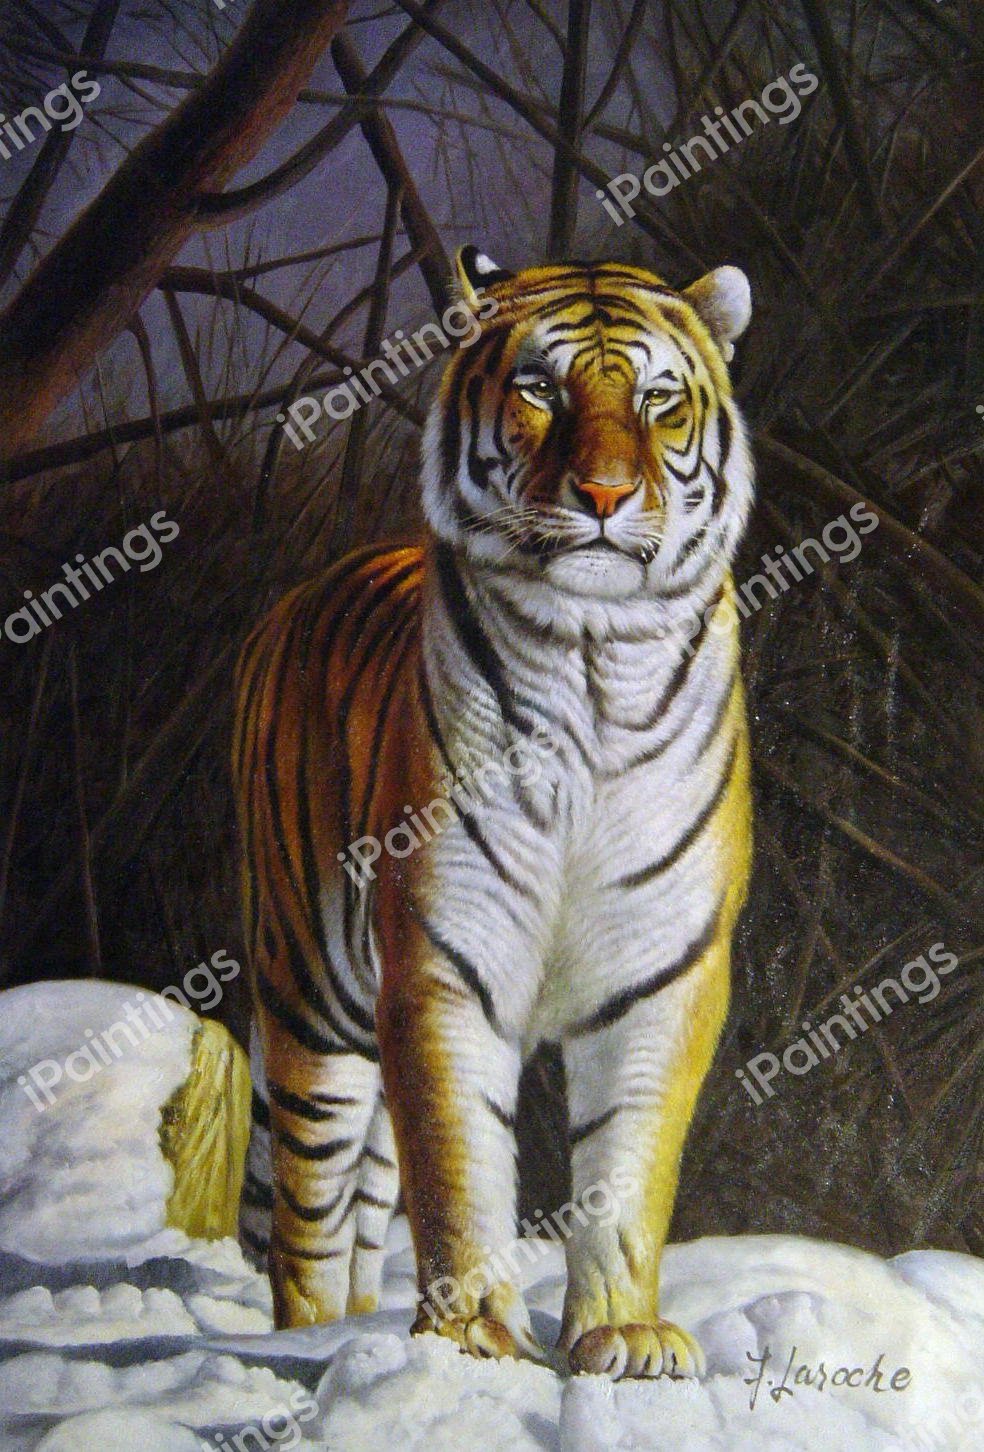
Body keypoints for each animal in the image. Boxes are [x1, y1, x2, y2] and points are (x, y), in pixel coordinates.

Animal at [232, 247, 754, 1380]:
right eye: (539, 389)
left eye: (659, 400)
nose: (604, 492)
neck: (596, 660)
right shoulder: (443, 958)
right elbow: (460, 1160)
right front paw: (472, 1335)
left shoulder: (664, 969)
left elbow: (626, 1167)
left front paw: (623, 1335)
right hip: (311, 997)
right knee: (306, 1215)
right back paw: (312, 1339)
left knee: (366, 1199)